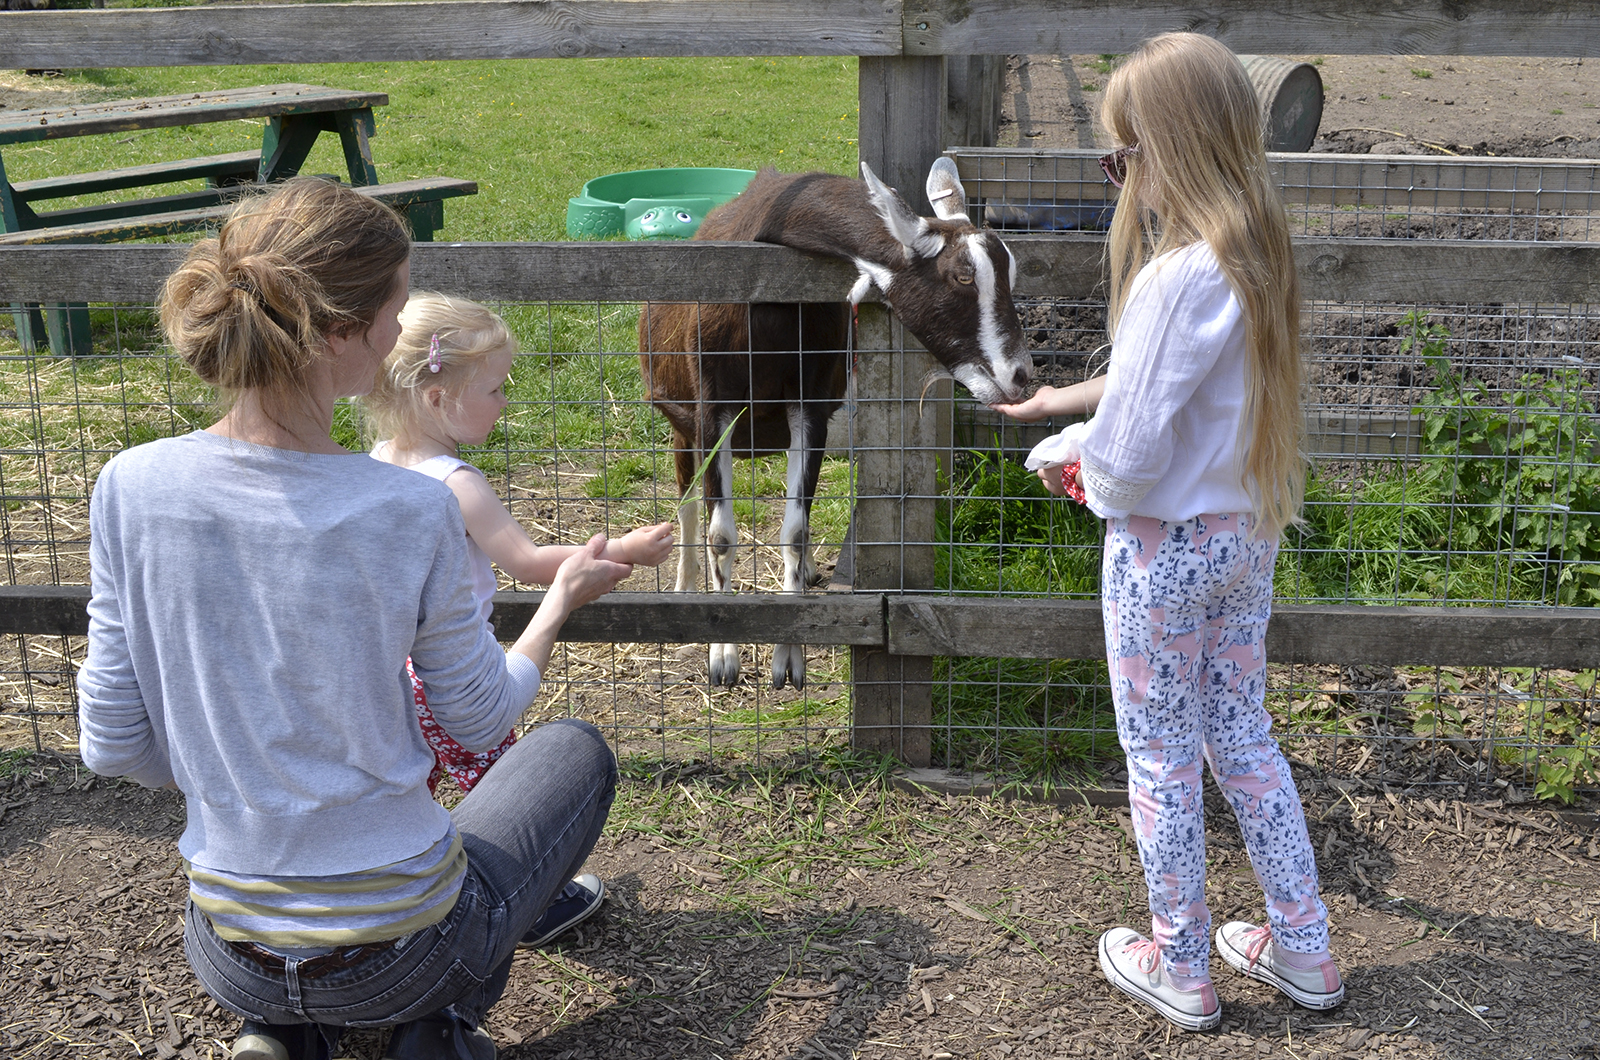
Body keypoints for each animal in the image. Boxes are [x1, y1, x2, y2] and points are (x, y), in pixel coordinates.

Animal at [633, 156, 1024, 688]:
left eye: (1011, 273)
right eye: (963, 277)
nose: (1020, 375)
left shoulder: (810, 406)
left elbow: (796, 531)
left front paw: (788, 656)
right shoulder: (715, 408)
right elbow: (721, 534)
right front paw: (722, 654)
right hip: (681, 424)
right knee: (687, 504)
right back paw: (683, 588)